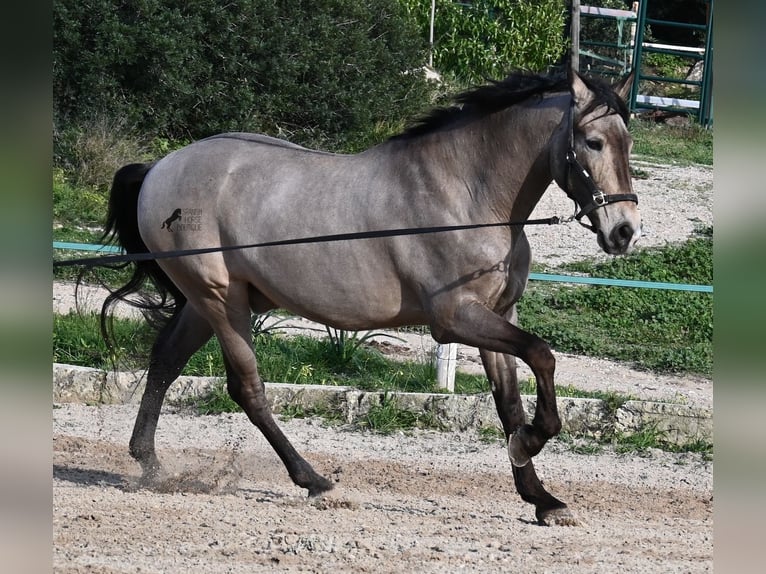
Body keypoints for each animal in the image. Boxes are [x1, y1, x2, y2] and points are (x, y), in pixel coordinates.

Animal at [102, 71, 640, 528]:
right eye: (592, 142)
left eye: (628, 143)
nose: (625, 231)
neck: (466, 195)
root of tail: (159, 168)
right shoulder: (455, 318)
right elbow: (542, 356)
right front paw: (530, 442)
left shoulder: (498, 314)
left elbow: (508, 403)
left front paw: (542, 499)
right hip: (222, 303)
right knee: (246, 389)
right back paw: (315, 481)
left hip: (208, 303)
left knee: (165, 361)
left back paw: (149, 463)